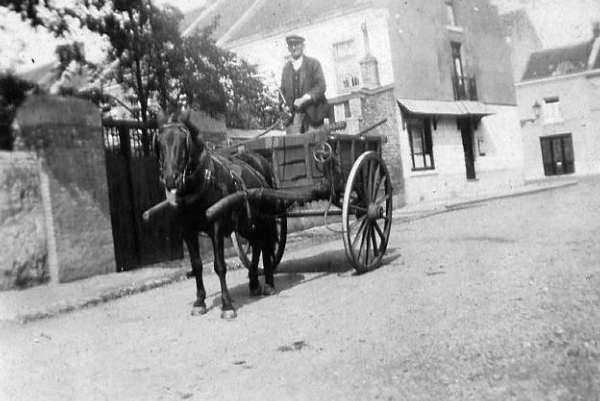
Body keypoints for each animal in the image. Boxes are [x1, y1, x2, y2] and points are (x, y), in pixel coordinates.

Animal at [152, 111, 278, 318]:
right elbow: (197, 265)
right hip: (246, 224)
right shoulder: (187, 230)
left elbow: (219, 265)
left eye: (183, 142)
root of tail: (260, 163)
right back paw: (253, 283)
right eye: (160, 144)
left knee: (266, 245)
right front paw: (199, 302)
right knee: (257, 245)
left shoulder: (216, 226)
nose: (171, 179)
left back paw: (268, 283)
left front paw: (227, 305)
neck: (201, 184)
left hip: (264, 219)